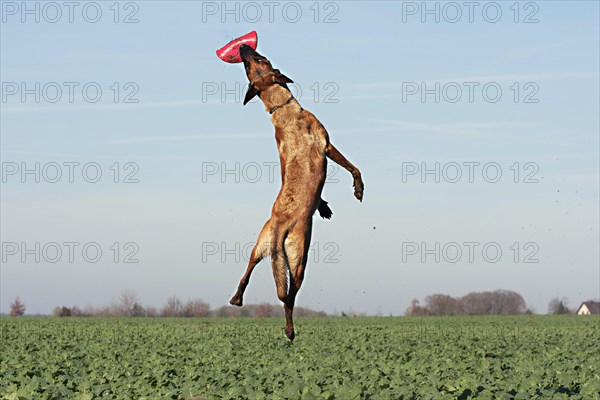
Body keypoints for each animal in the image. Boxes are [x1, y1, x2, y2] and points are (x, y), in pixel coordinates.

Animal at [229, 46, 360, 340]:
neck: (282, 108)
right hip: (299, 258)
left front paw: (324, 207)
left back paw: (237, 299)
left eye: (254, 63)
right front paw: (358, 189)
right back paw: (289, 331)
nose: (243, 47)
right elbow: (353, 167)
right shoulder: (327, 145)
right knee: (288, 296)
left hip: (260, 244)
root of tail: (279, 229)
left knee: (247, 272)